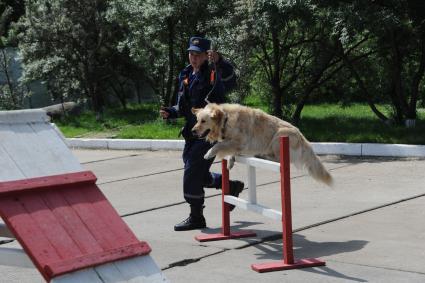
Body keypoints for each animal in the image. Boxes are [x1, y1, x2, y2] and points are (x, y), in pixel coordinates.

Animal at [190, 103, 332, 186]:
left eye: (203, 121)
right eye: (197, 120)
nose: (192, 131)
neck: (226, 120)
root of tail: (302, 137)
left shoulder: (240, 141)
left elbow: (218, 145)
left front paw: (208, 153)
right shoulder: (237, 143)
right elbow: (229, 149)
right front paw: (230, 160)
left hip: (279, 137)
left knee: (280, 160)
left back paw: (261, 156)